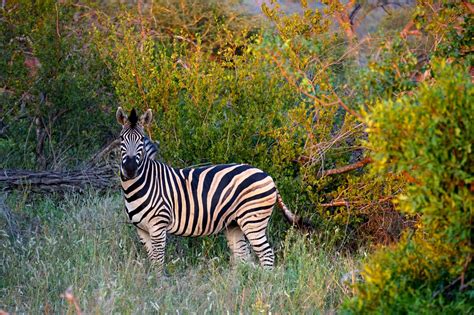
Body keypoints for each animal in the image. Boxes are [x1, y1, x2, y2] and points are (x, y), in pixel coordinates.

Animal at [117, 107, 312, 272]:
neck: (139, 186)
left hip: (253, 220)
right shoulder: (141, 230)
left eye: (141, 140)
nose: (130, 169)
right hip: (234, 224)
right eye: (121, 139)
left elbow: (158, 262)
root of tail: (268, 176)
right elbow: (152, 260)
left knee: (266, 254)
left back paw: (264, 286)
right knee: (243, 258)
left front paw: (160, 286)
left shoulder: (158, 225)